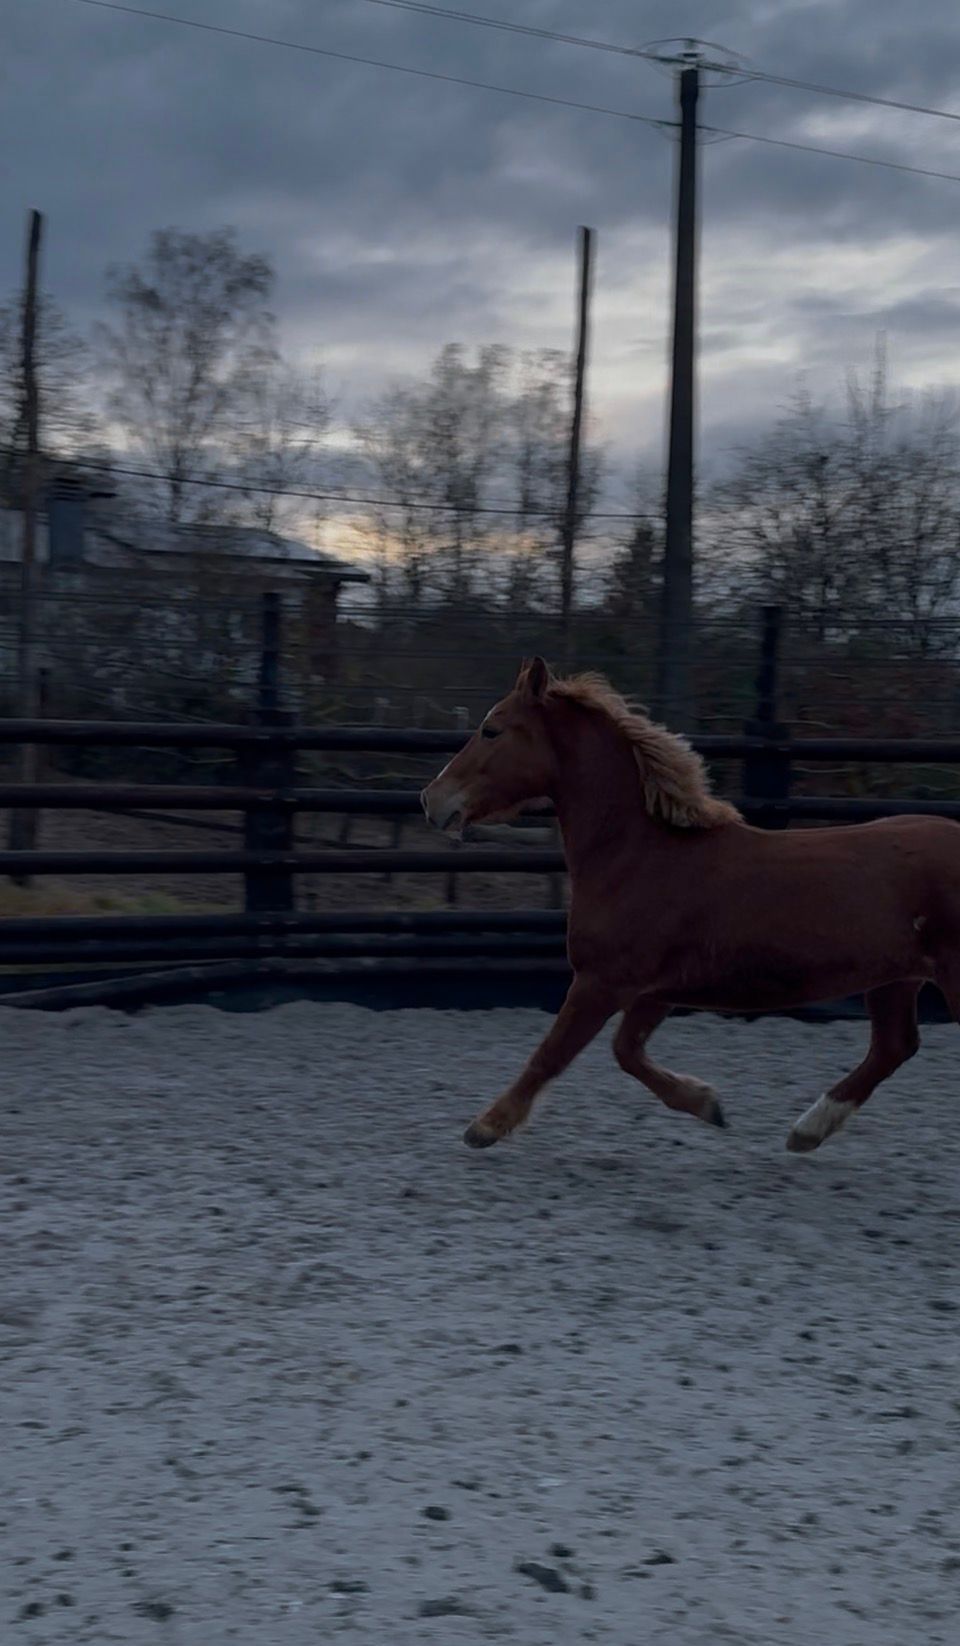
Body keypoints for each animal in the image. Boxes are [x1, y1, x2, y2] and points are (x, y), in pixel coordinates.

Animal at [420, 656, 959, 1154]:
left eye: (491, 729)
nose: (430, 799)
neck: (640, 854)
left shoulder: (601, 981)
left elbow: (551, 1054)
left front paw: (485, 1127)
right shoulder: (656, 989)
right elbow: (626, 1051)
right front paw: (708, 1104)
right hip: (893, 980)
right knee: (893, 1047)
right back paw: (807, 1131)